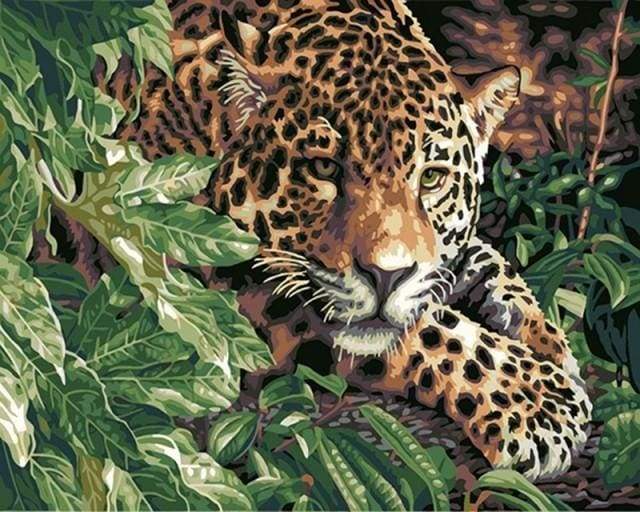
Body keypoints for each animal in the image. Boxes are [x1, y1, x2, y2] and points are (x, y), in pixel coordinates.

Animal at [105, 0, 592, 481]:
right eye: (323, 168)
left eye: (431, 178)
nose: (385, 276)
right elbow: (431, 329)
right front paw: (540, 401)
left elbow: (487, 266)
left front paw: (550, 344)